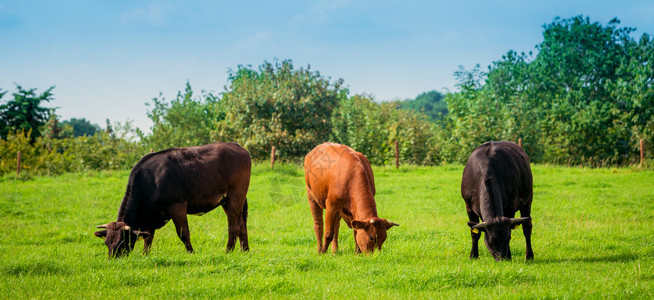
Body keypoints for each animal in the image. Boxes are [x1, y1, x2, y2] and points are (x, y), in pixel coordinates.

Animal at [95, 142, 251, 258]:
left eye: (122, 241)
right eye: (107, 243)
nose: (113, 259)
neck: (151, 179)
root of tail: (238, 146)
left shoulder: (177, 206)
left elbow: (183, 233)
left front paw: (191, 253)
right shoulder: (151, 214)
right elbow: (148, 237)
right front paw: (145, 255)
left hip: (235, 196)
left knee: (233, 225)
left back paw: (228, 251)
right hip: (229, 200)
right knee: (241, 223)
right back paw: (245, 250)